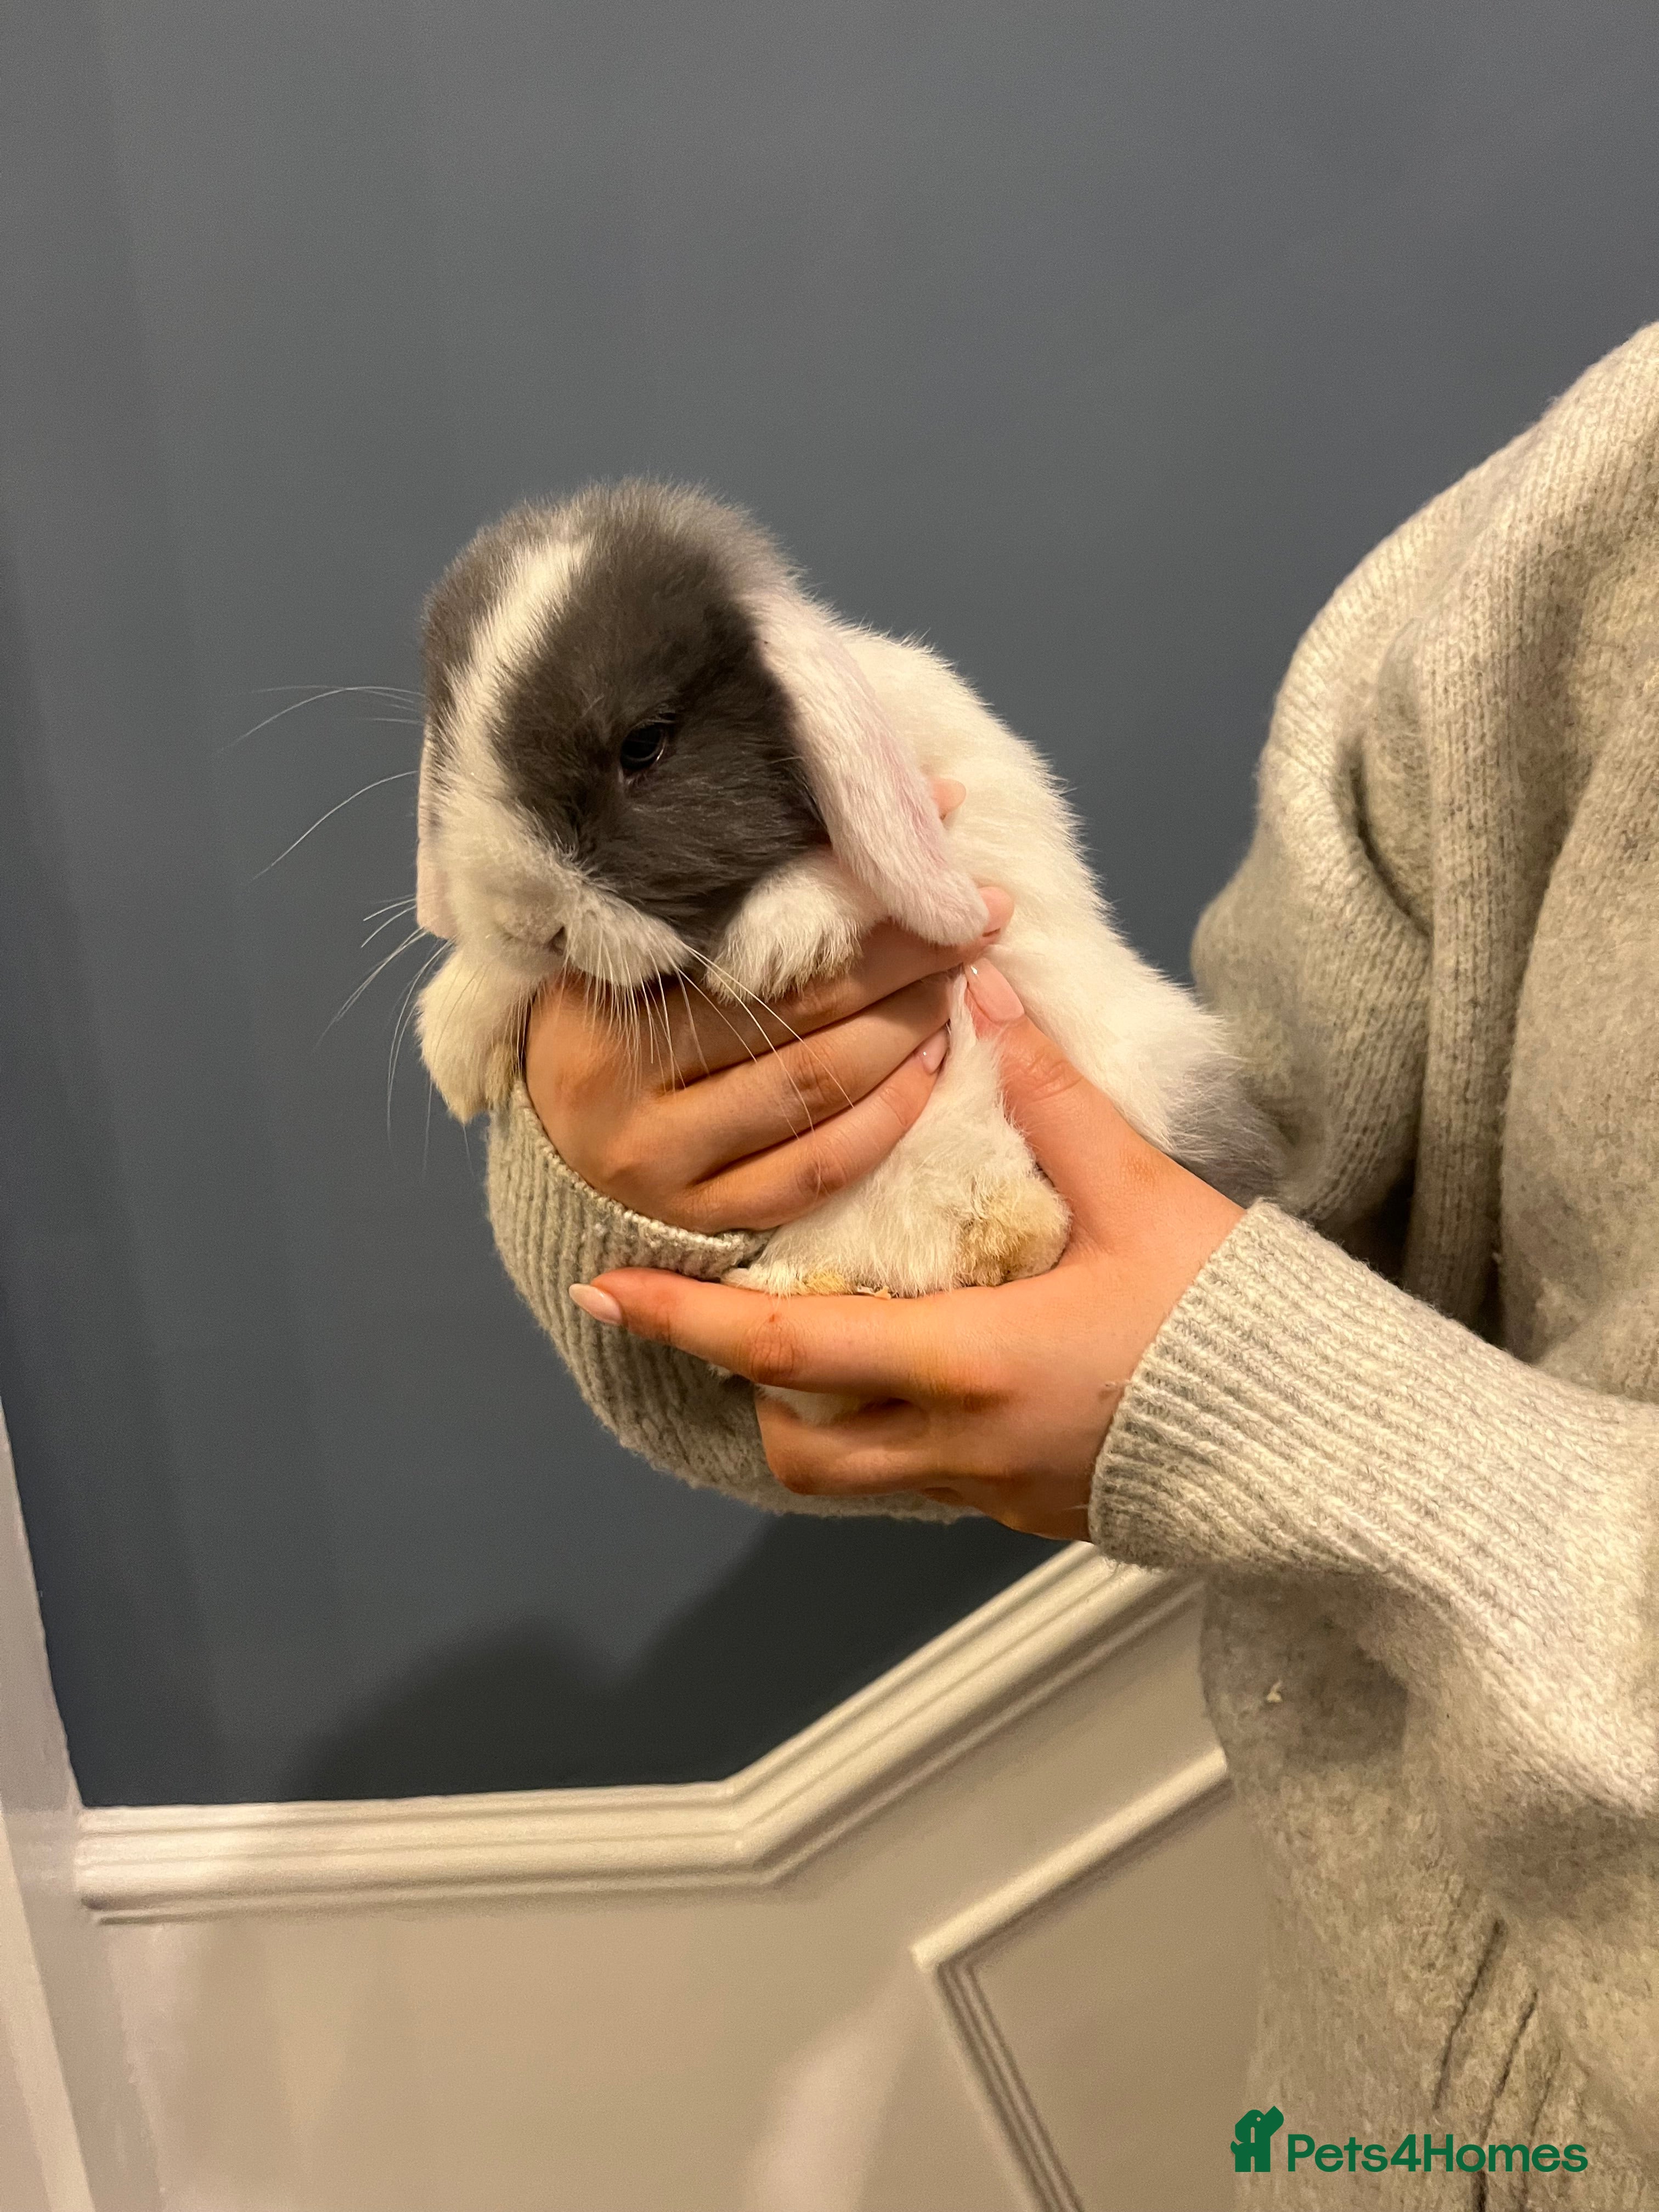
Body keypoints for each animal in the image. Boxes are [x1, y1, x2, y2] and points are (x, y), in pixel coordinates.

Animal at [414, 481, 1281, 1417]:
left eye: (643, 746)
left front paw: (778, 942)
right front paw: (455, 1039)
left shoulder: (975, 839)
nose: (525, 917)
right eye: (450, 743)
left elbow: (884, 876)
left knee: (1013, 1223)